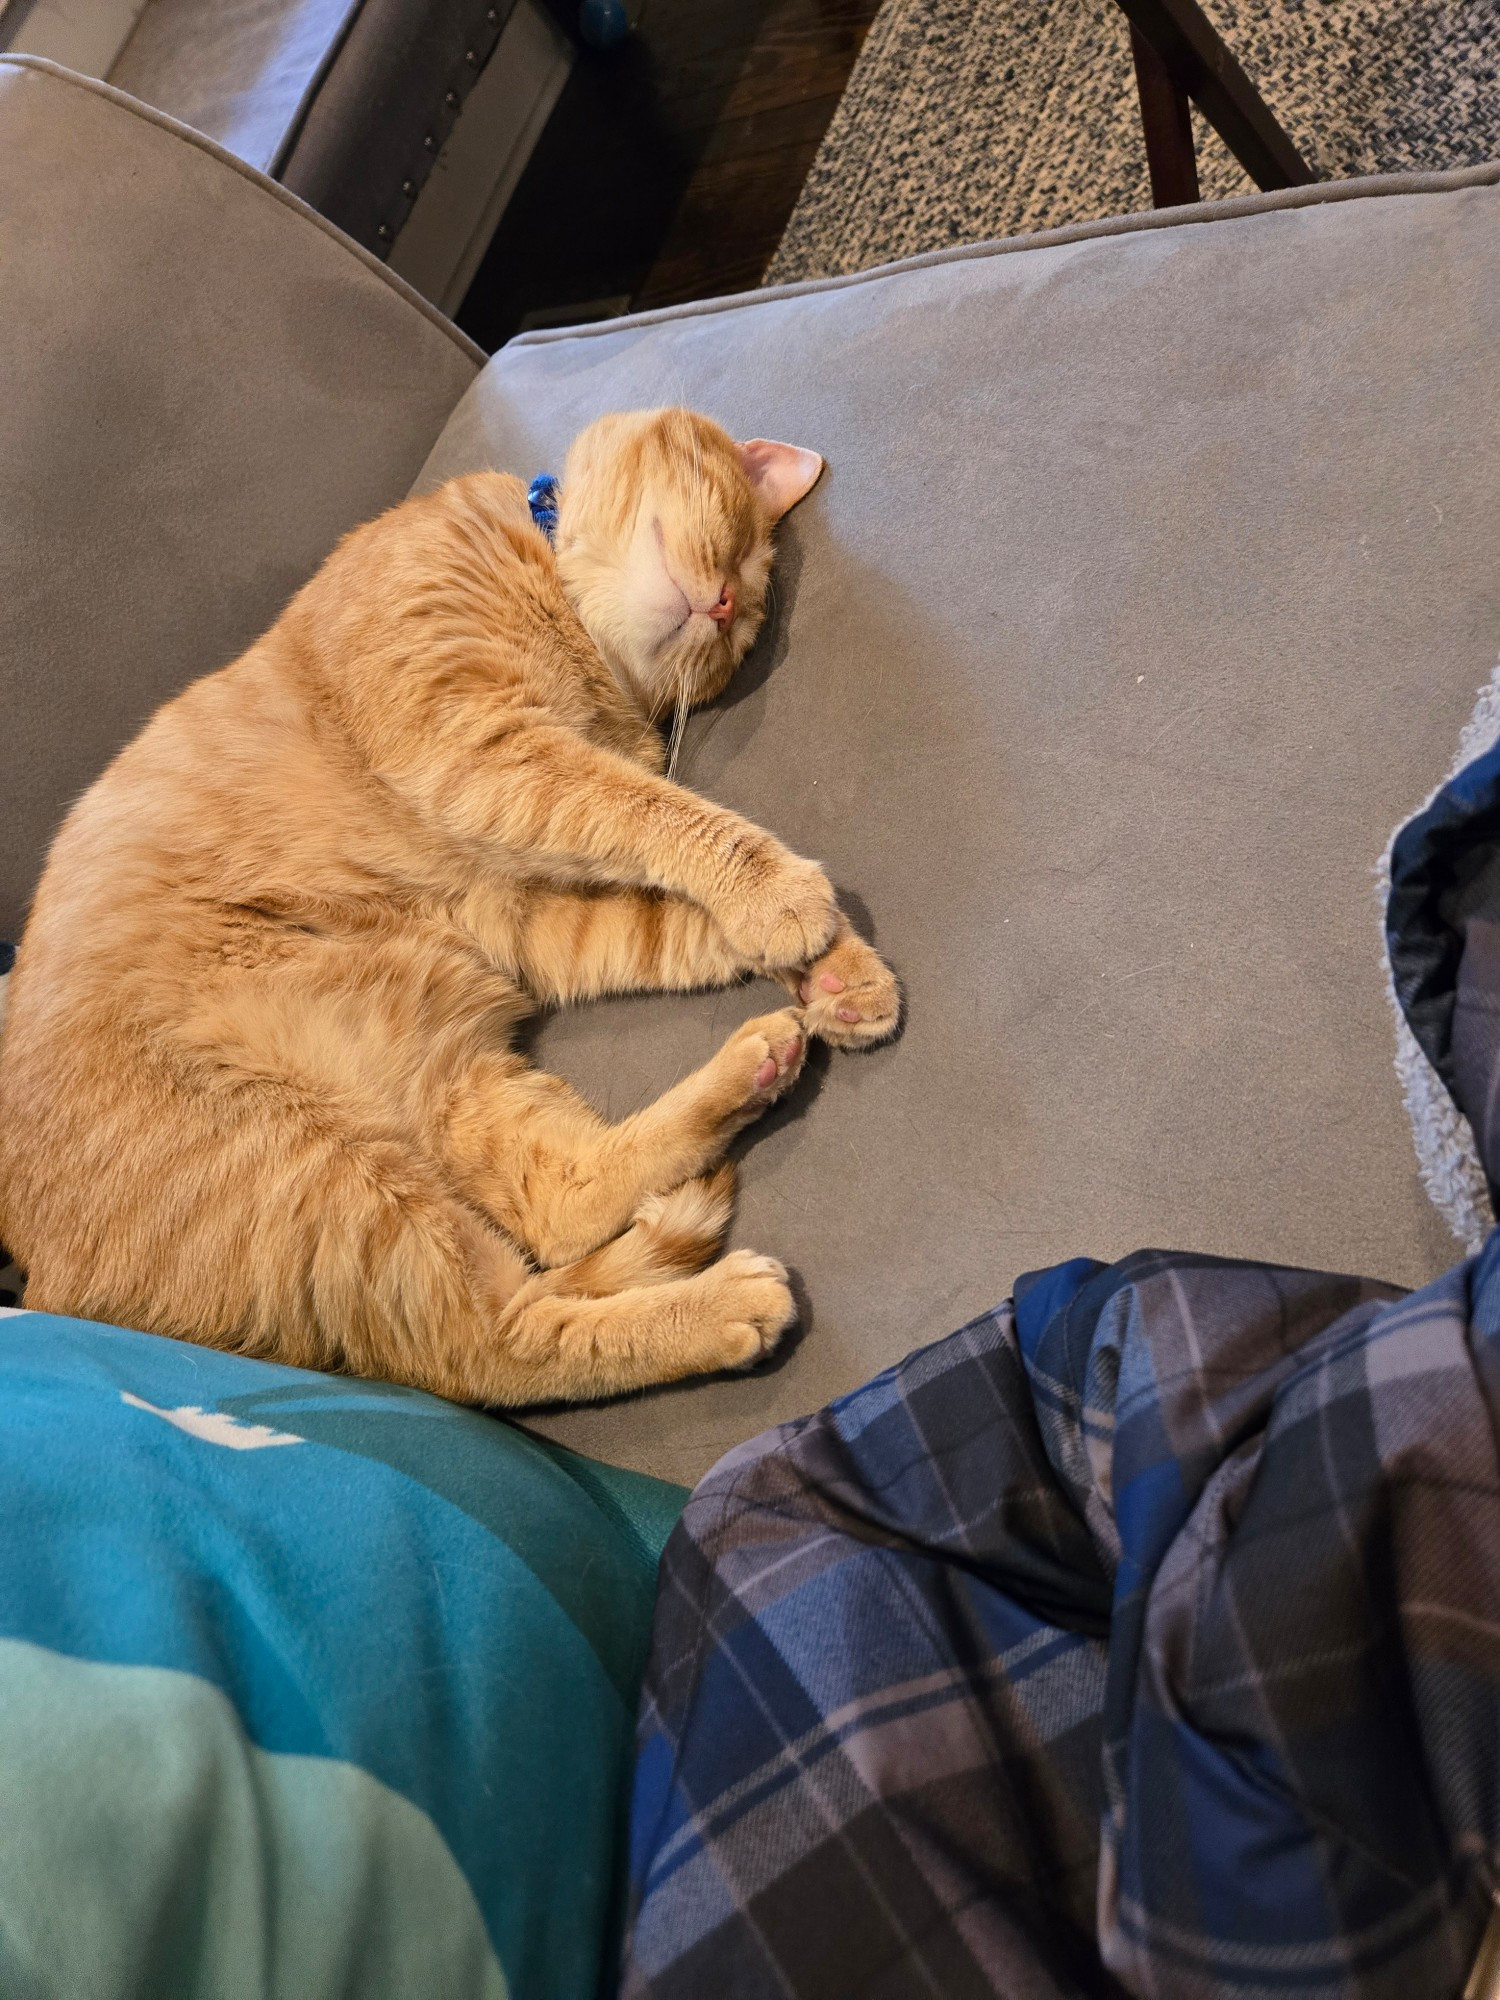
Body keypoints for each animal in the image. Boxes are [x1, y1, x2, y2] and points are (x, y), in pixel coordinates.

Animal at [0, 406, 900, 1408]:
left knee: (556, 1215)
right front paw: (785, 901)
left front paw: (839, 973)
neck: (568, 617)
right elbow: (670, 818)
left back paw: (757, 1070)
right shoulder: (482, 747)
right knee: (501, 1346)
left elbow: (673, 916)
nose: (724, 609)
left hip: (446, 1084)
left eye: (739, 624)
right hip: (335, 1182)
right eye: (739, 550)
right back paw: (724, 1305)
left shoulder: (528, 904)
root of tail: (40, 1283)